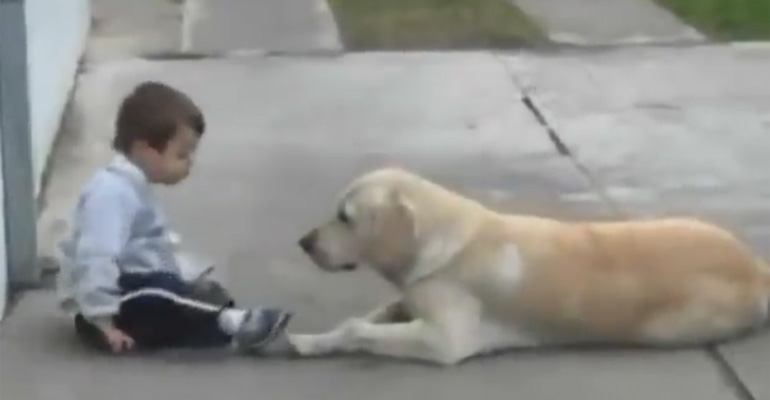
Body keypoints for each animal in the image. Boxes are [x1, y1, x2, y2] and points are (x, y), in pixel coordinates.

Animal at [288, 167, 770, 365]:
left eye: (345, 216)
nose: (303, 243)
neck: (443, 239)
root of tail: (756, 266)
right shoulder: (410, 303)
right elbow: (365, 319)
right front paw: (312, 341)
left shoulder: (447, 341)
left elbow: (358, 328)